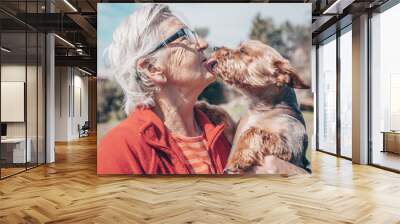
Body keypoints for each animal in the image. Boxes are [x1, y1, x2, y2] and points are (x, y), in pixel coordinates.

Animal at [208, 39, 310, 174]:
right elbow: (223, 116)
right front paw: (203, 105)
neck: (259, 109)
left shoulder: (290, 147)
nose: (215, 48)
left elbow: (252, 131)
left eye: (243, 51)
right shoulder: (234, 134)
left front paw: (238, 158)